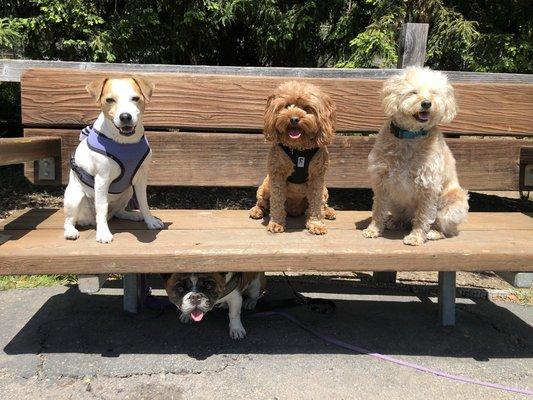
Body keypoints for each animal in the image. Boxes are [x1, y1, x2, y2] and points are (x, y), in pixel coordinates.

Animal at [62, 76, 162, 242]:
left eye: (135, 98)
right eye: (110, 100)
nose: (125, 116)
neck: (125, 143)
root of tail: (88, 220)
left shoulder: (141, 177)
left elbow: (143, 201)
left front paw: (150, 221)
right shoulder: (102, 178)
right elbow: (102, 207)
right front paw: (103, 233)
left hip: (128, 191)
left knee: (118, 212)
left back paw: (133, 216)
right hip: (75, 197)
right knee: (70, 220)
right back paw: (71, 231)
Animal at [250, 80, 334, 234]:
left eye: (307, 108)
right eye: (286, 106)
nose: (294, 119)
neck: (299, 149)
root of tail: (294, 210)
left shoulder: (317, 177)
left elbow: (315, 204)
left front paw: (316, 224)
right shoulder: (277, 174)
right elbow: (276, 202)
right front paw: (276, 223)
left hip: (325, 190)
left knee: (322, 204)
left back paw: (328, 211)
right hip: (265, 186)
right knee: (263, 203)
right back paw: (256, 210)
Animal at [364, 67, 468, 245]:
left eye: (434, 93)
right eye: (413, 92)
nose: (426, 103)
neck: (410, 136)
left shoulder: (429, 186)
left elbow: (423, 216)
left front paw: (416, 237)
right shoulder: (381, 182)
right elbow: (378, 209)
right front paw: (373, 229)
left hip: (454, 204)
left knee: (444, 227)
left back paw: (434, 233)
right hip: (396, 201)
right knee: (404, 217)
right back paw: (396, 222)